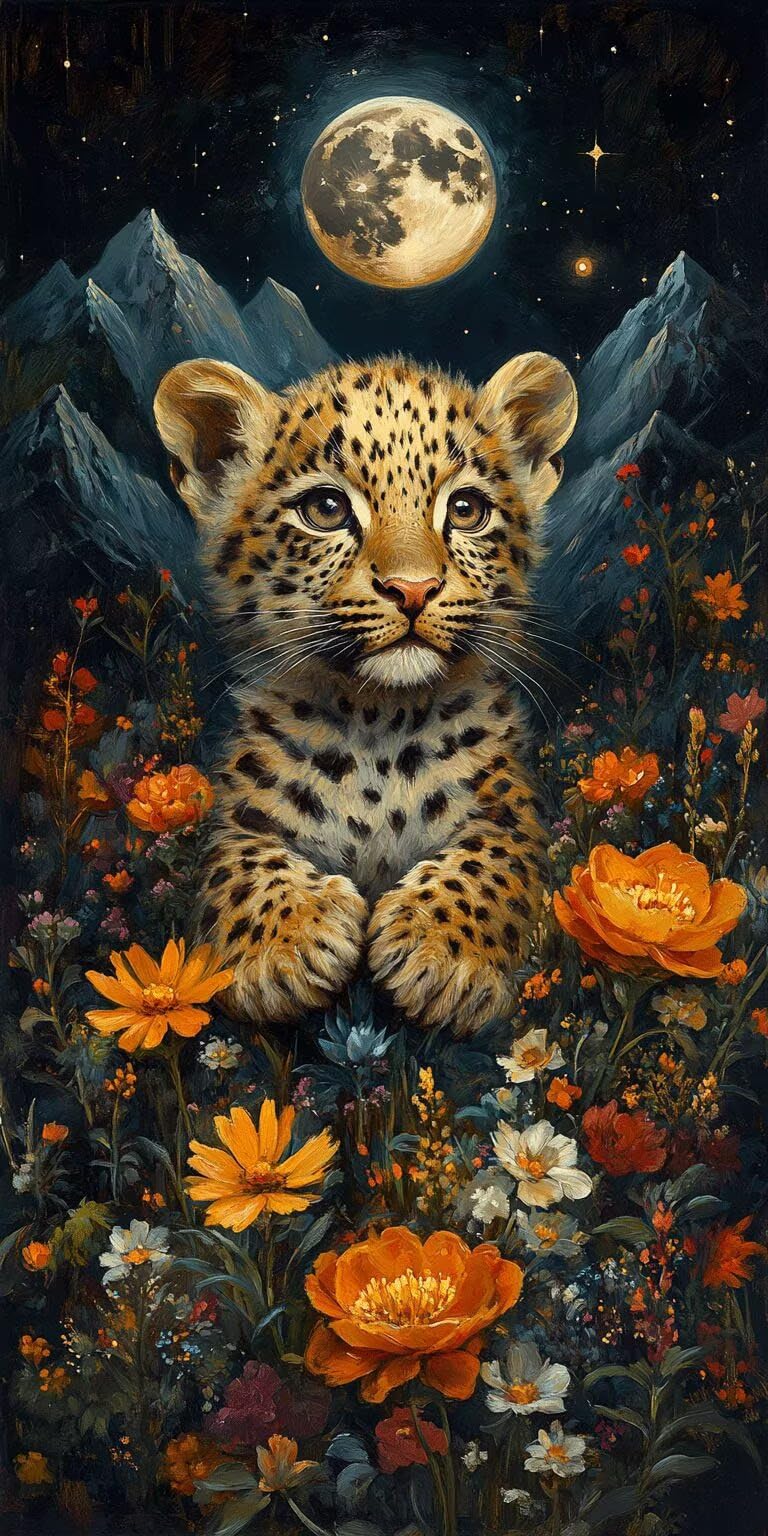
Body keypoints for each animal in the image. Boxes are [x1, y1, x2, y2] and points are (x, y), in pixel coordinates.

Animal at [153, 348, 577, 1035]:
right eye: (326, 509)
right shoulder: (237, 818)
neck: (379, 719)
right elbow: (240, 864)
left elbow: (495, 860)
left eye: (466, 510)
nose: (413, 589)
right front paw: (288, 948)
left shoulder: (511, 813)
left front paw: (440, 957)